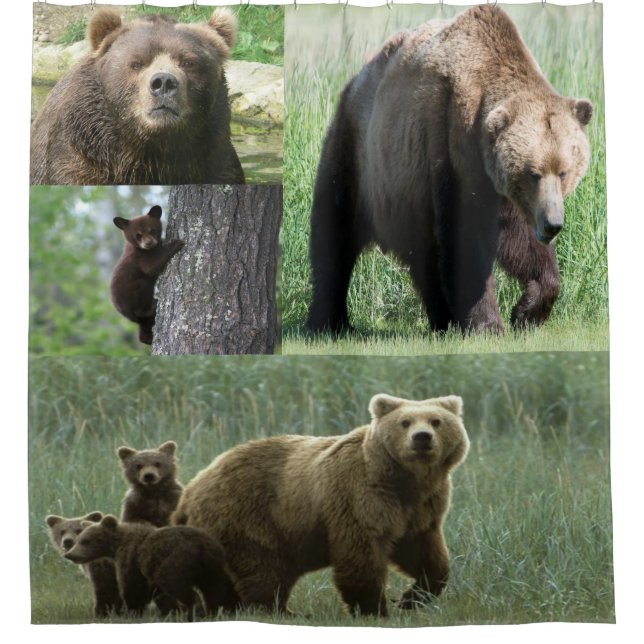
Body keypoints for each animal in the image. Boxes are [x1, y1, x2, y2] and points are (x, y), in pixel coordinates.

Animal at [64, 515, 237, 620]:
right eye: (79, 539)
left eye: (86, 540)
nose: (70, 554)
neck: (116, 545)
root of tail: (200, 546)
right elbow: (155, 592)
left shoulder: (131, 557)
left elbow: (133, 586)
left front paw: (132, 612)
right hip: (212, 563)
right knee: (214, 587)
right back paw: (214, 611)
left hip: (176, 560)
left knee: (176, 584)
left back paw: (193, 611)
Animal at [110, 206, 184, 346]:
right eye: (137, 235)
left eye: (152, 230)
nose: (148, 243)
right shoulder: (139, 258)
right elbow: (151, 267)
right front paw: (176, 244)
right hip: (133, 296)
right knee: (143, 289)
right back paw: (152, 305)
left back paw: (148, 338)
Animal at [172, 393, 470, 617]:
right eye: (405, 422)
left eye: (436, 421)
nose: (422, 438)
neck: (405, 479)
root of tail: (192, 488)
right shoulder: (360, 495)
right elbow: (361, 551)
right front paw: (374, 609)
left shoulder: (422, 506)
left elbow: (423, 551)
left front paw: (413, 597)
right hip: (248, 515)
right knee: (262, 567)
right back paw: (279, 610)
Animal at [306, 4, 592, 335]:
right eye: (533, 173)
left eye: (564, 171)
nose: (552, 224)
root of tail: (355, 80)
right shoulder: (452, 147)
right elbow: (466, 238)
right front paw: (487, 324)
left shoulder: (501, 188)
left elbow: (521, 241)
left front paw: (526, 311)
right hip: (358, 155)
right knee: (333, 236)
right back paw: (330, 321)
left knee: (423, 258)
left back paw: (441, 319)